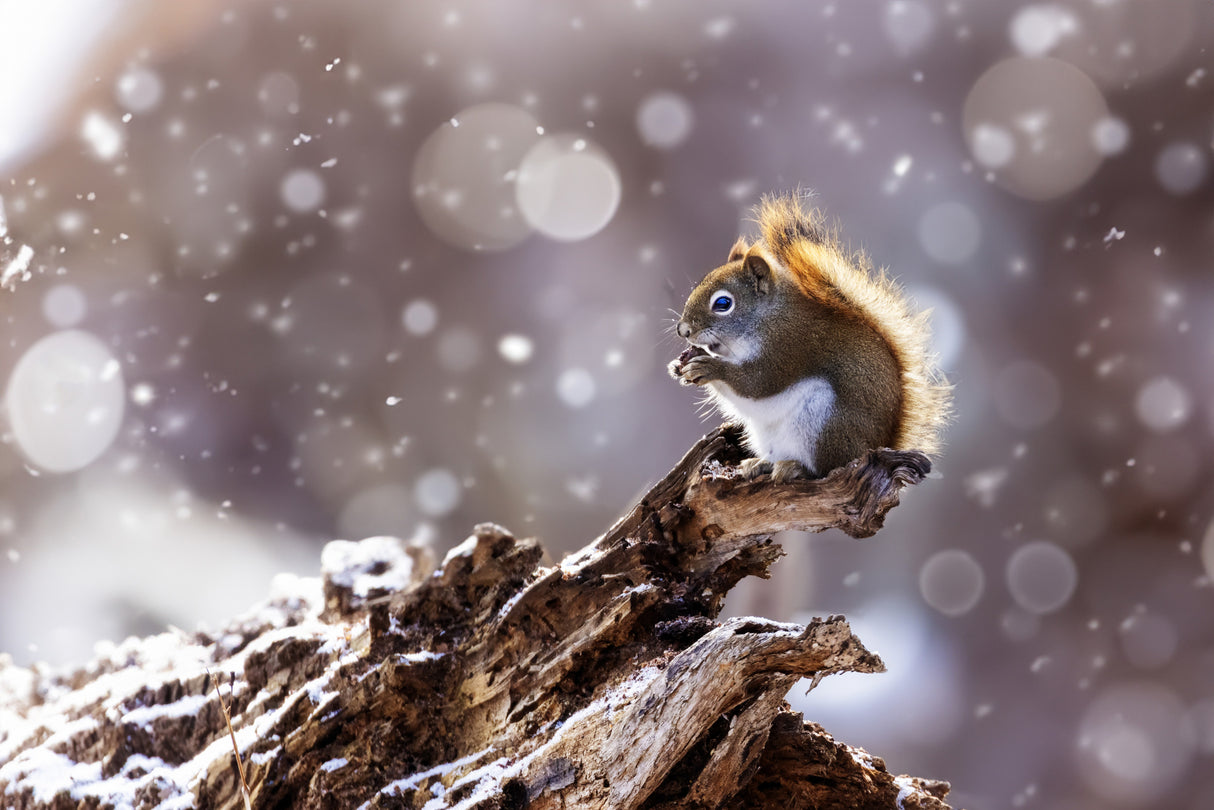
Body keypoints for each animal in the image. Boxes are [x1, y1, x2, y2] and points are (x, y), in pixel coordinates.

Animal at [668, 192, 951, 482]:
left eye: (723, 303)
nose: (683, 330)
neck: (767, 319)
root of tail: (876, 445)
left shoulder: (790, 347)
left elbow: (755, 383)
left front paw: (709, 367)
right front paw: (679, 365)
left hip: (825, 424)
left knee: (825, 468)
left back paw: (795, 467)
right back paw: (760, 463)